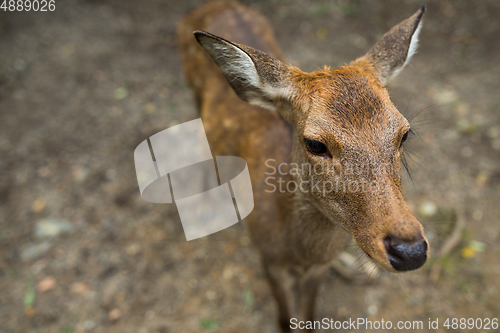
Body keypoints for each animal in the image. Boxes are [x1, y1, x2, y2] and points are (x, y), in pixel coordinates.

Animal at [178, 1, 428, 330]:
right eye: (315, 144)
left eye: (404, 133)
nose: (410, 251)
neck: (296, 251)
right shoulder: (268, 260)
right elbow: (285, 319)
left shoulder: (319, 268)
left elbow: (308, 315)